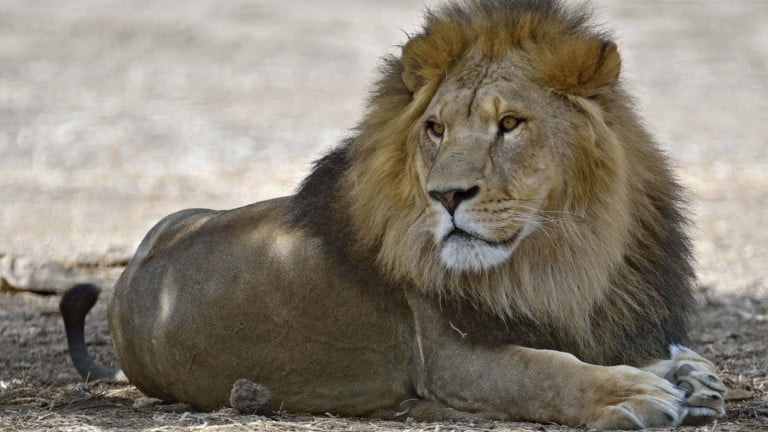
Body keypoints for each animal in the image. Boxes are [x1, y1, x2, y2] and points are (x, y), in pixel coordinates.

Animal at [60, 0, 726, 429]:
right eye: (435, 129)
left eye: (511, 124)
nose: (446, 195)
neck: (559, 255)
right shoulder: (451, 356)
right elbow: (545, 371)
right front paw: (633, 391)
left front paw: (688, 372)